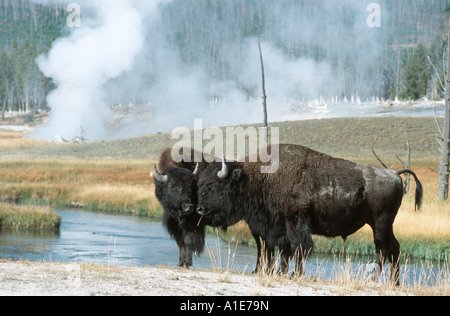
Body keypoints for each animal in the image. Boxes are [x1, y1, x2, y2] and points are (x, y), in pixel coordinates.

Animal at [197, 143, 422, 284]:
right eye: (201, 182)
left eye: (214, 184)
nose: (199, 208)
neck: (256, 178)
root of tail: (394, 173)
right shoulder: (277, 228)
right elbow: (284, 250)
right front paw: (283, 272)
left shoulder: (296, 221)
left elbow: (298, 247)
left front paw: (293, 274)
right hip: (381, 225)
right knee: (394, 248)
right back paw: (394, 283)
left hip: (380, 223)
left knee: (382, 249)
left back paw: (374, 280)